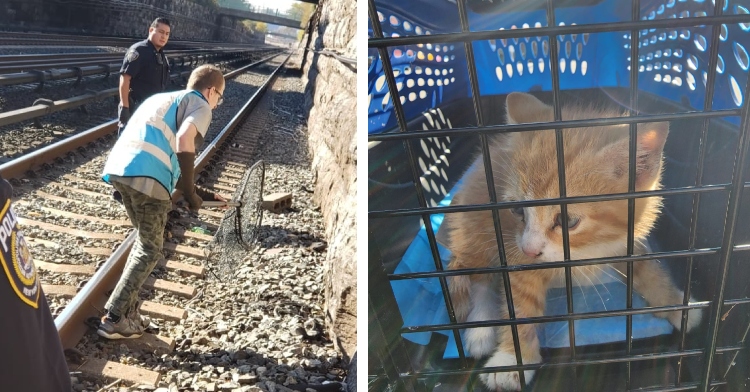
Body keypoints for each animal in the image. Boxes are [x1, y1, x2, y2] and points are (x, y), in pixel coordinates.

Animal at [444, 91, 704, 388]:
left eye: (568, 221)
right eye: (518, 210)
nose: (530, 250)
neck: (586, 250)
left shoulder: (623, 242)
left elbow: (647, 270)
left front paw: (676, 303)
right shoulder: (516, 252)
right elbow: (520, 304)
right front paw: (512, 360)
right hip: (478, 227)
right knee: (478, 277)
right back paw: (481, 328)